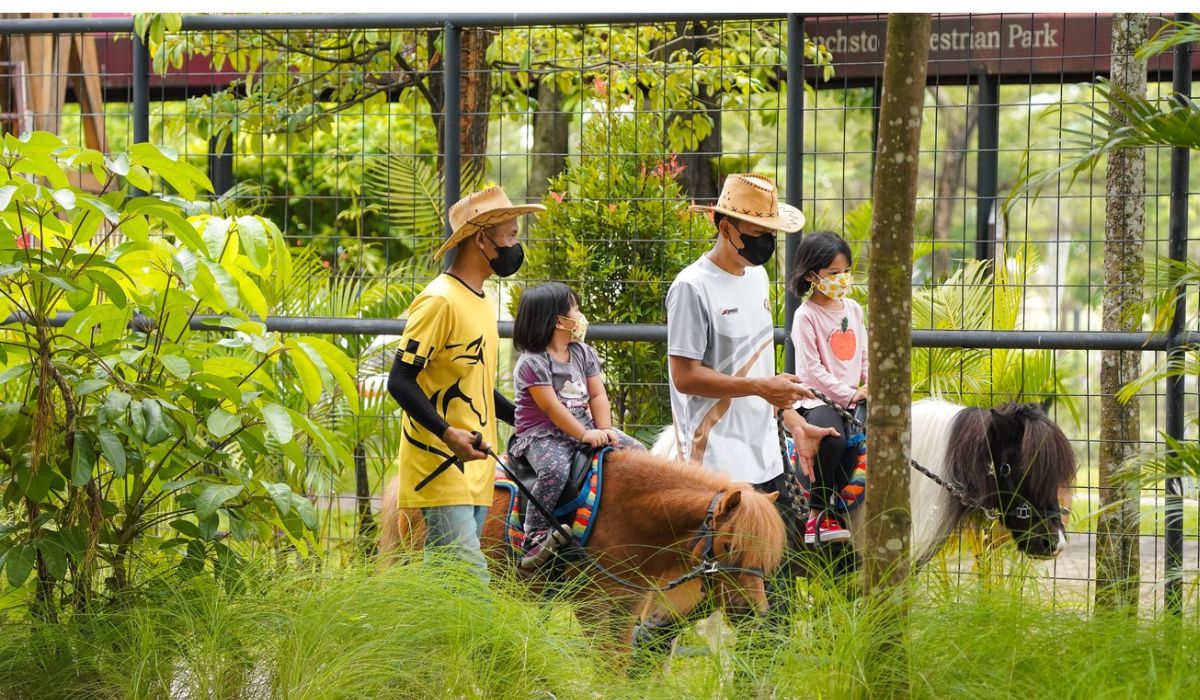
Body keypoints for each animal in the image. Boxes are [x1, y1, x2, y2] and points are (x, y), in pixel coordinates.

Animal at [376, 449, 787, 653]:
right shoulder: (592, 606)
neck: (627, 514)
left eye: (766, 557)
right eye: (730, 545)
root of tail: (401, 489)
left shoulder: (626, 608)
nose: (755, 612)